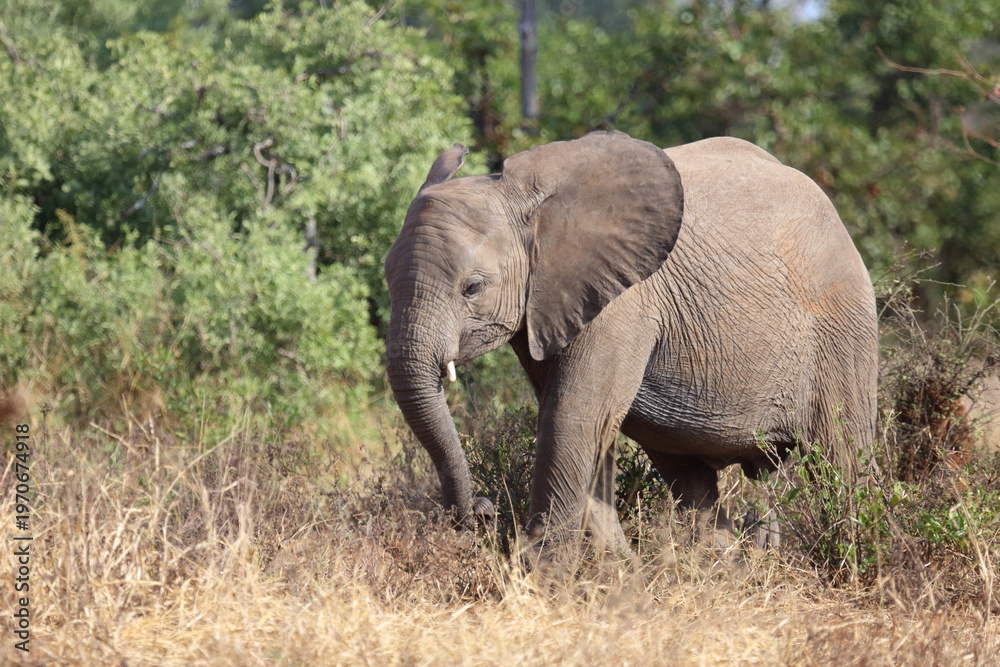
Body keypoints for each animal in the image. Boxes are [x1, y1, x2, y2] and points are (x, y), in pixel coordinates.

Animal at [384, 131, 877, 554]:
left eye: (472, 288)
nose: (482, 511)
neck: (526, 202)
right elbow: (584, 425)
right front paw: (614, 575)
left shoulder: (621, 303)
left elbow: (572, 419)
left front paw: (544, 580)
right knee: (693, 474)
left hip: (842, 326)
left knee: (843, 455)